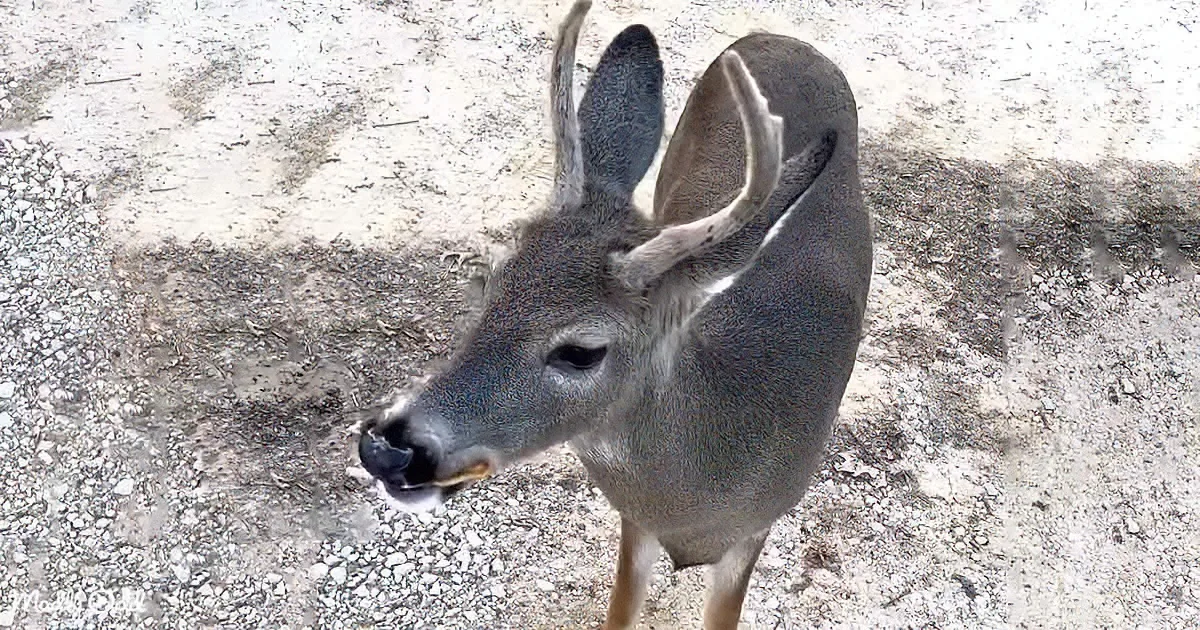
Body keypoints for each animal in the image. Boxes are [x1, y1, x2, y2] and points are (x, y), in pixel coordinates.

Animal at [356, 0, 872, 627]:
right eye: (487, 285)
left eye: (582, 352)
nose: (387, 449)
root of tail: (778, 36)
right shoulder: (636, 524)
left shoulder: (754, 534)